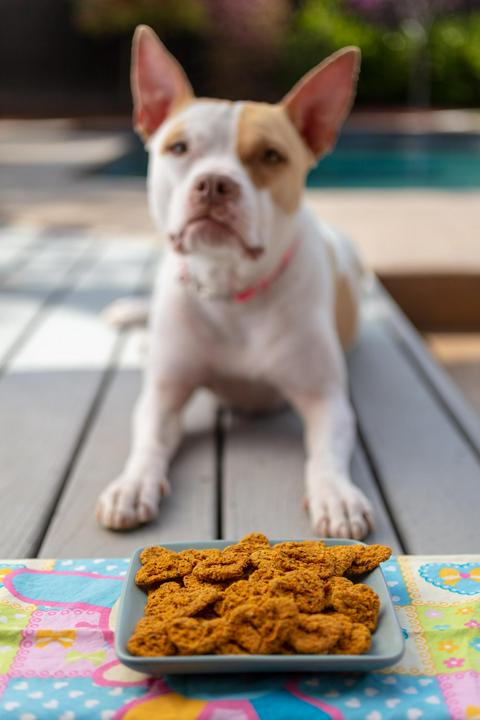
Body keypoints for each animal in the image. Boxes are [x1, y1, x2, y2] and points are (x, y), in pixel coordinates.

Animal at [96, 23, 376, 540]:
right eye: (179, 148)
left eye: (270, 156)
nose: (214, 183)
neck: (230, 290)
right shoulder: (163, 396)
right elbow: (149, 442)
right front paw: (132, 484)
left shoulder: (326, 399)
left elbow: (325, 453)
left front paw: (336, 495)